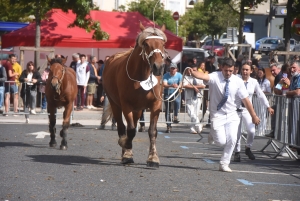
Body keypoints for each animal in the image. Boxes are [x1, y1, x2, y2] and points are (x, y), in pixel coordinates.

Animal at [103, 23, 166, 168]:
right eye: (146, 44)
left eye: (163, 44)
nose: (158, 67)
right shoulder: (126, 105)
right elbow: (130, 130)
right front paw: (126, 149)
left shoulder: (155, 105)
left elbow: (152, 131)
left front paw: (153, 158)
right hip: (115, 104)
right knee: (122, 127)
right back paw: (125, 151)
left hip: (138, 109)